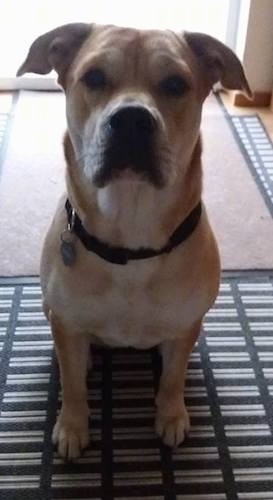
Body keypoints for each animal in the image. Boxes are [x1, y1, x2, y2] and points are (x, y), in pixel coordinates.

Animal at [17, 24, 251, 460]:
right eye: (93, 77)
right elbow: (72, 385)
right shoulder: (66, 322)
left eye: (176, 84)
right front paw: (72, 426)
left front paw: (171, 415)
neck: (131, 237)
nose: (131, 119)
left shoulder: (185, 326)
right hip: (51, 310)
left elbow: (173, 378)